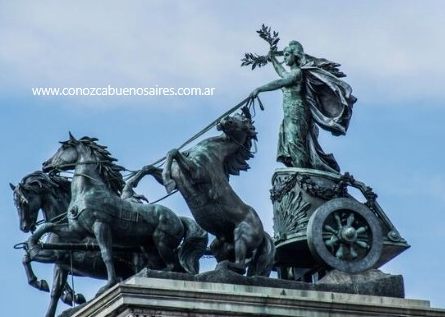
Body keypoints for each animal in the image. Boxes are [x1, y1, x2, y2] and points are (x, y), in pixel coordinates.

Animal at [26, 133, 207, 314]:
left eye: (64, 147)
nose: (45, 164)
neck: (88, 191)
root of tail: (178, 218)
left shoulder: (100, 226)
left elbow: (106, 254)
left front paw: (108, 285)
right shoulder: (75, 231)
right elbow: (47, 227)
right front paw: (32, 246)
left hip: (161, 242)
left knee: (174, 266)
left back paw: (149, 274)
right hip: (149, 248)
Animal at [161, 111, 276, 274]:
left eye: (243, 122)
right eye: (236, 116)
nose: (226, 120)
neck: (213, 151)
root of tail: (262, 233)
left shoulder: (197, 173)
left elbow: (174, 152)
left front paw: (168, 182)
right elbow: (159, 162)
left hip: (242, 235)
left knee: (241, 265)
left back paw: (224, 267)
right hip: (219, 246)